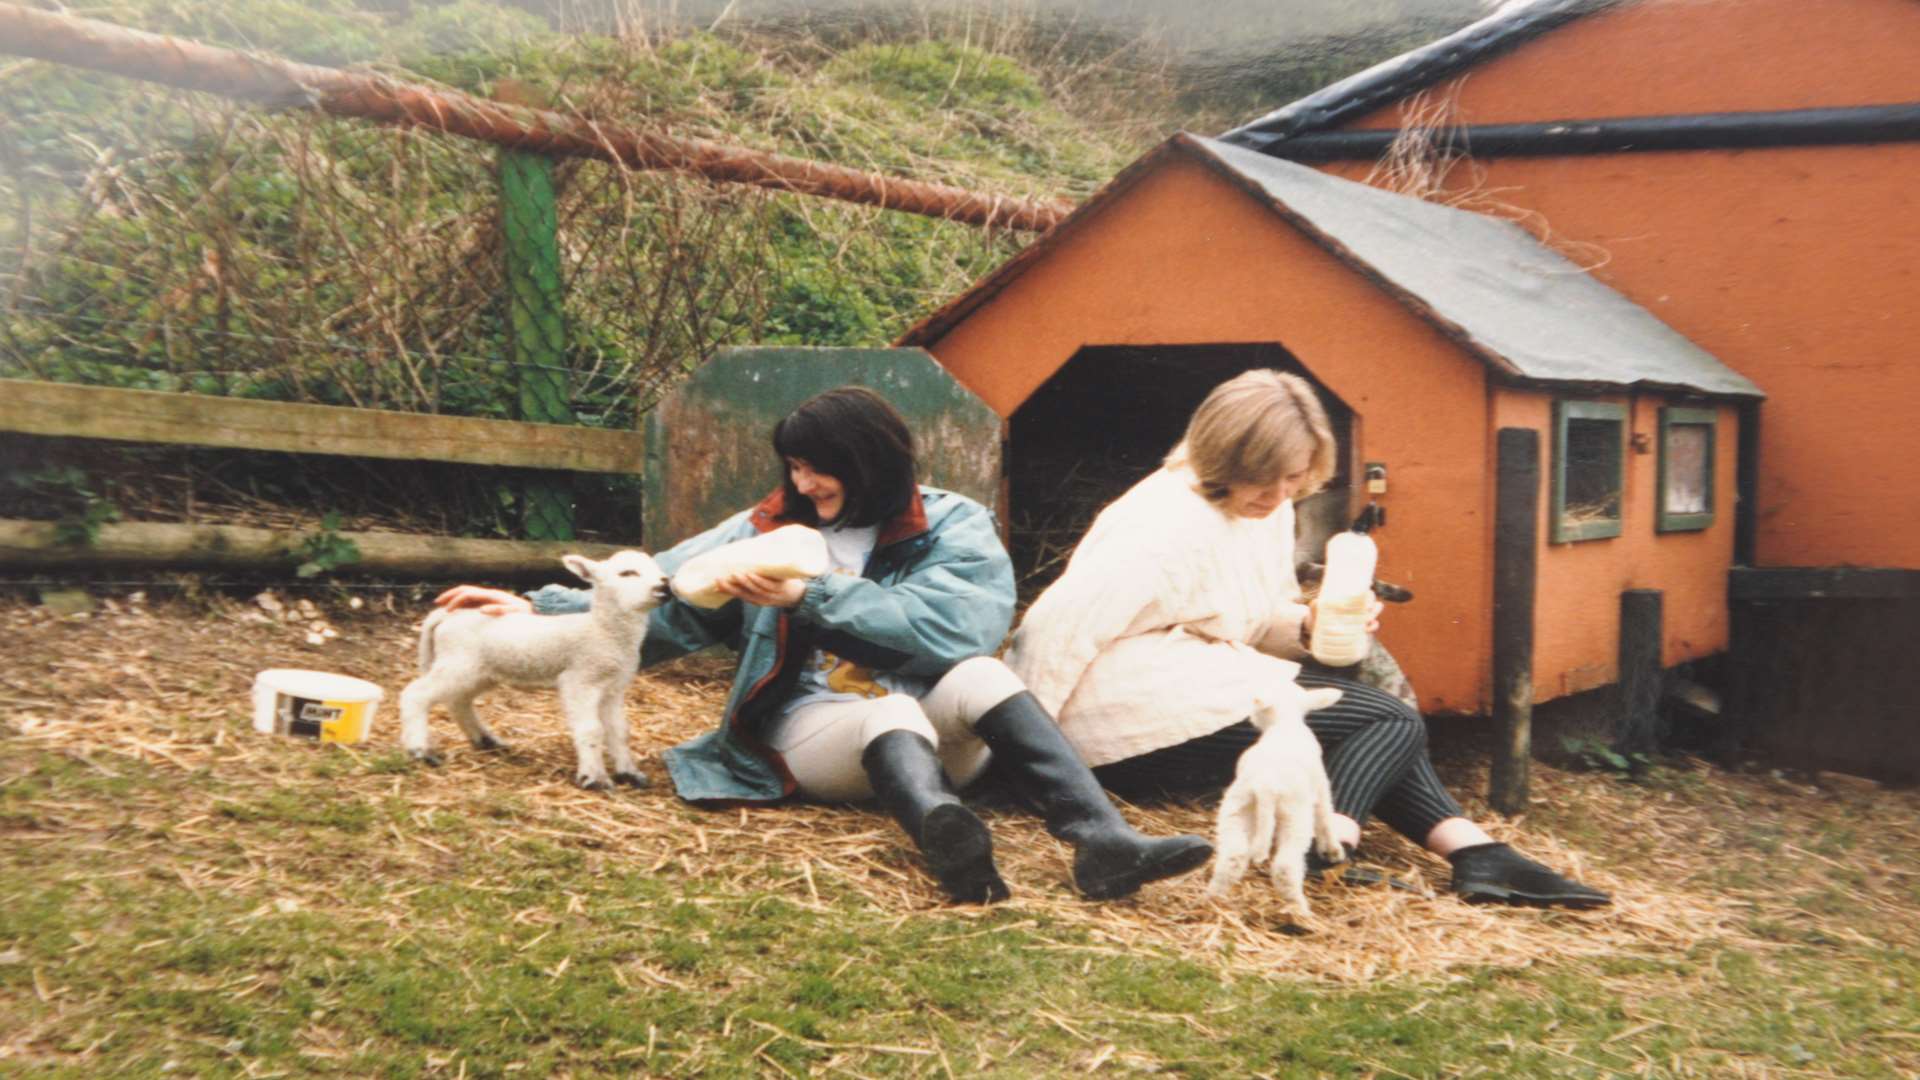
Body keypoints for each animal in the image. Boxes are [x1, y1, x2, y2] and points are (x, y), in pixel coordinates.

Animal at [393, 549, 672, 787]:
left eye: (660, 571)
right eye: (627, 573)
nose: (665, 586)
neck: (604, 632)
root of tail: (446, 615)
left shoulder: (613, 686)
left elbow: (619, 731)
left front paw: (630, 773)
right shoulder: (580, 679)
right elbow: (592, 729)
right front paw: (594, 778)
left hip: (478, 670)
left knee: (457, 701)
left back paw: (486, 740)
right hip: (460, 662)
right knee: (416, 694)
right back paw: (421, 750)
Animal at [1205, 684, 1344, 910]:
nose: (1250, 717)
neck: (1284, 722)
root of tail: (1265, 787)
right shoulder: (1321, 786)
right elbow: (1325, 817)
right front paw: (1332, 851)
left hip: (1237, 809)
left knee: (1233, 857)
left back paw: (1211, 899)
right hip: (1294, 819)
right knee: (1285, 868)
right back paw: (1301, 911)